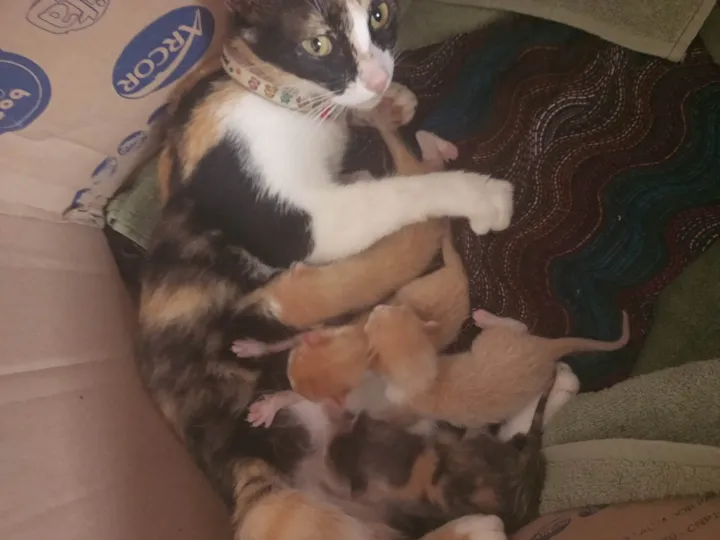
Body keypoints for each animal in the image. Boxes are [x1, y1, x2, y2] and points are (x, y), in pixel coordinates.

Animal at [137, 1, 516, 540]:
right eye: (318, 45)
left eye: (379, 16)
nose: (379, 77)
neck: (277, 96)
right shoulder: (304, 225)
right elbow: (394, 194)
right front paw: (480, 195)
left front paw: (388, 103)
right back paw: (481, 525)